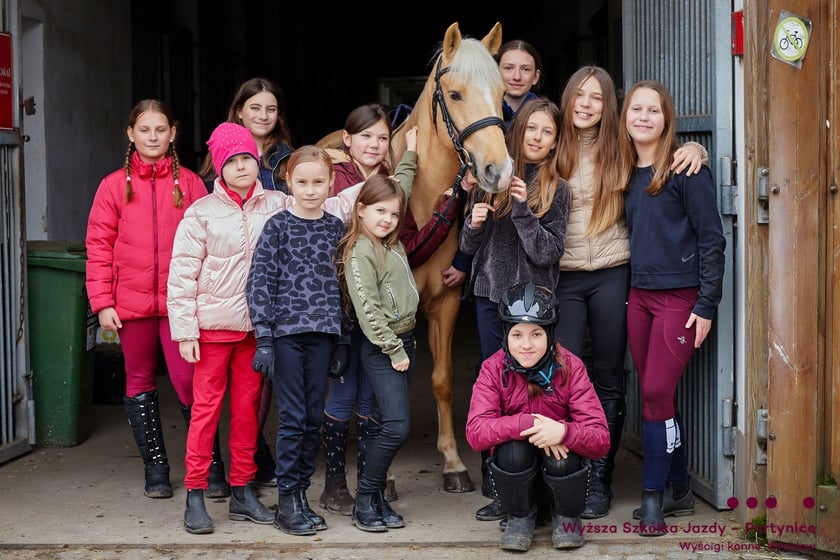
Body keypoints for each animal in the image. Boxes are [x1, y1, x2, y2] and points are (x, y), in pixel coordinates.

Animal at [320, 23, 512, 494]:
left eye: (502, 93)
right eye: (456, 94)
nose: (499, 171)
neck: (418, 204)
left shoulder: (444, 302)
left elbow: (442, 381)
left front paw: (453, 463)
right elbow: (382, 389)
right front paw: (382, 474)